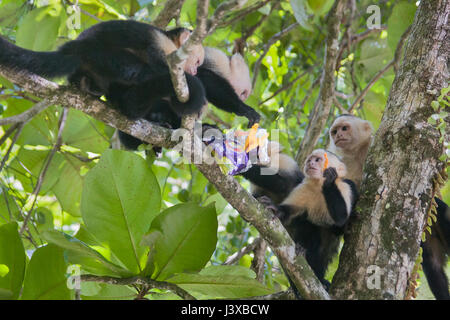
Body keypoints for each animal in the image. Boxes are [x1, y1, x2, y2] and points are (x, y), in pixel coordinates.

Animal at [328, 115, 448, 300]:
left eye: (344, 128)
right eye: (334, 131)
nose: (338, 136)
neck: (357, 154)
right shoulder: (346, 165)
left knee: (443, 212)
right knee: (433, 266)